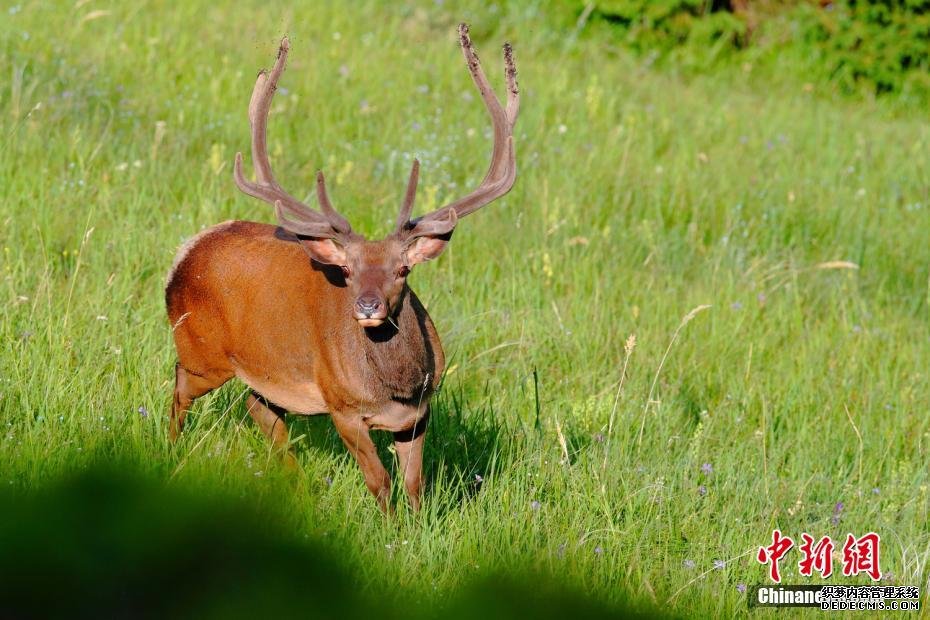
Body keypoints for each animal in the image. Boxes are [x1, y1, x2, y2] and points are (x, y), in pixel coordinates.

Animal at [164, 24, 520, 512]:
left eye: (403, 271)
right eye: (347, 271)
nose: (368, 306)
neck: (394, 388)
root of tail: (185, 252)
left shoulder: (420, 413)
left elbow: (415, 486)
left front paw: (417, 526)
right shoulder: (342, 408)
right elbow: (380, 483)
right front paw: (390, 528)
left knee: (261, 409)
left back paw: (294, 484)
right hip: (201, 351)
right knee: (181, 385)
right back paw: (170, 450)